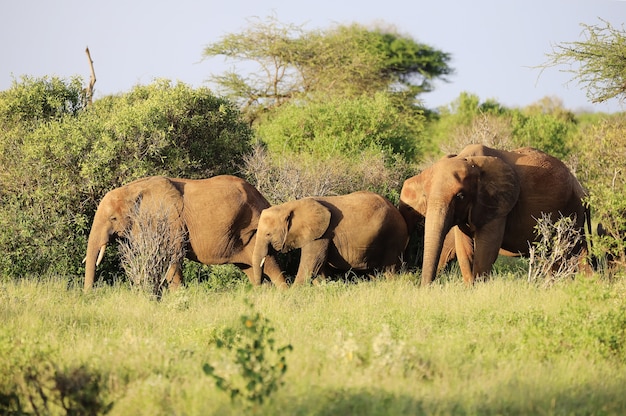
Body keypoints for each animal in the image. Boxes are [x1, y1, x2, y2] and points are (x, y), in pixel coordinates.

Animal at [84, 175, 286, 290]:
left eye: (113, 218)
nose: (89, 296)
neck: (132, 189)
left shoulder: (171, 222)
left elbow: (171, 257)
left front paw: (179, 298)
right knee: (254, 269)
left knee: (269, 265)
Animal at [251, 190, 408, 284]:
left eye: (268, 234)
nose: (259, 288)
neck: (289, 206)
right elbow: (320, 267)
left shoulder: (322, 235)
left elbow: (312, 263)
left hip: (393, 236)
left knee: (389, 269)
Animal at [398, 144, 588, 286]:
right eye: (425, 196)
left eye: (460, 196)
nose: (425, 288)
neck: (469, 160)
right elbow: (464, 249)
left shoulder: (497, 204)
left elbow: (486, 250)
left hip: (572, 212)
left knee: (568, 254)